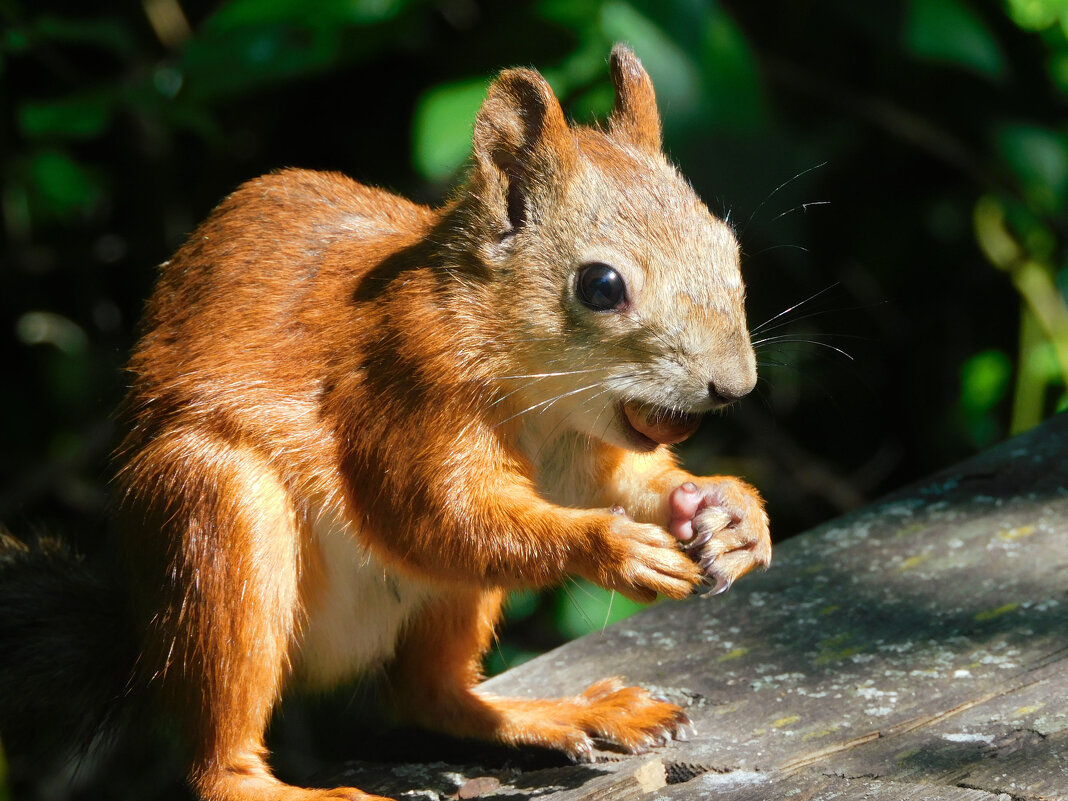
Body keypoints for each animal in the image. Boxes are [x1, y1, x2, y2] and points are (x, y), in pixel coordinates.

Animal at [0, 45, 770, 801]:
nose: (733, 385)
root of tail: (146, 634)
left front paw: (730, 513)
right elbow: (434, 514)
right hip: (214, 514)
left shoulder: (582, 454)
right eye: (601, 287)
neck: (545, 403)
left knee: (428, 692)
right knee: (217, 764)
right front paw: (616, 547)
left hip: (448, 601)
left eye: (728, 249)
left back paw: (558, 713)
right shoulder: (403, 382)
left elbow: (626, 484)